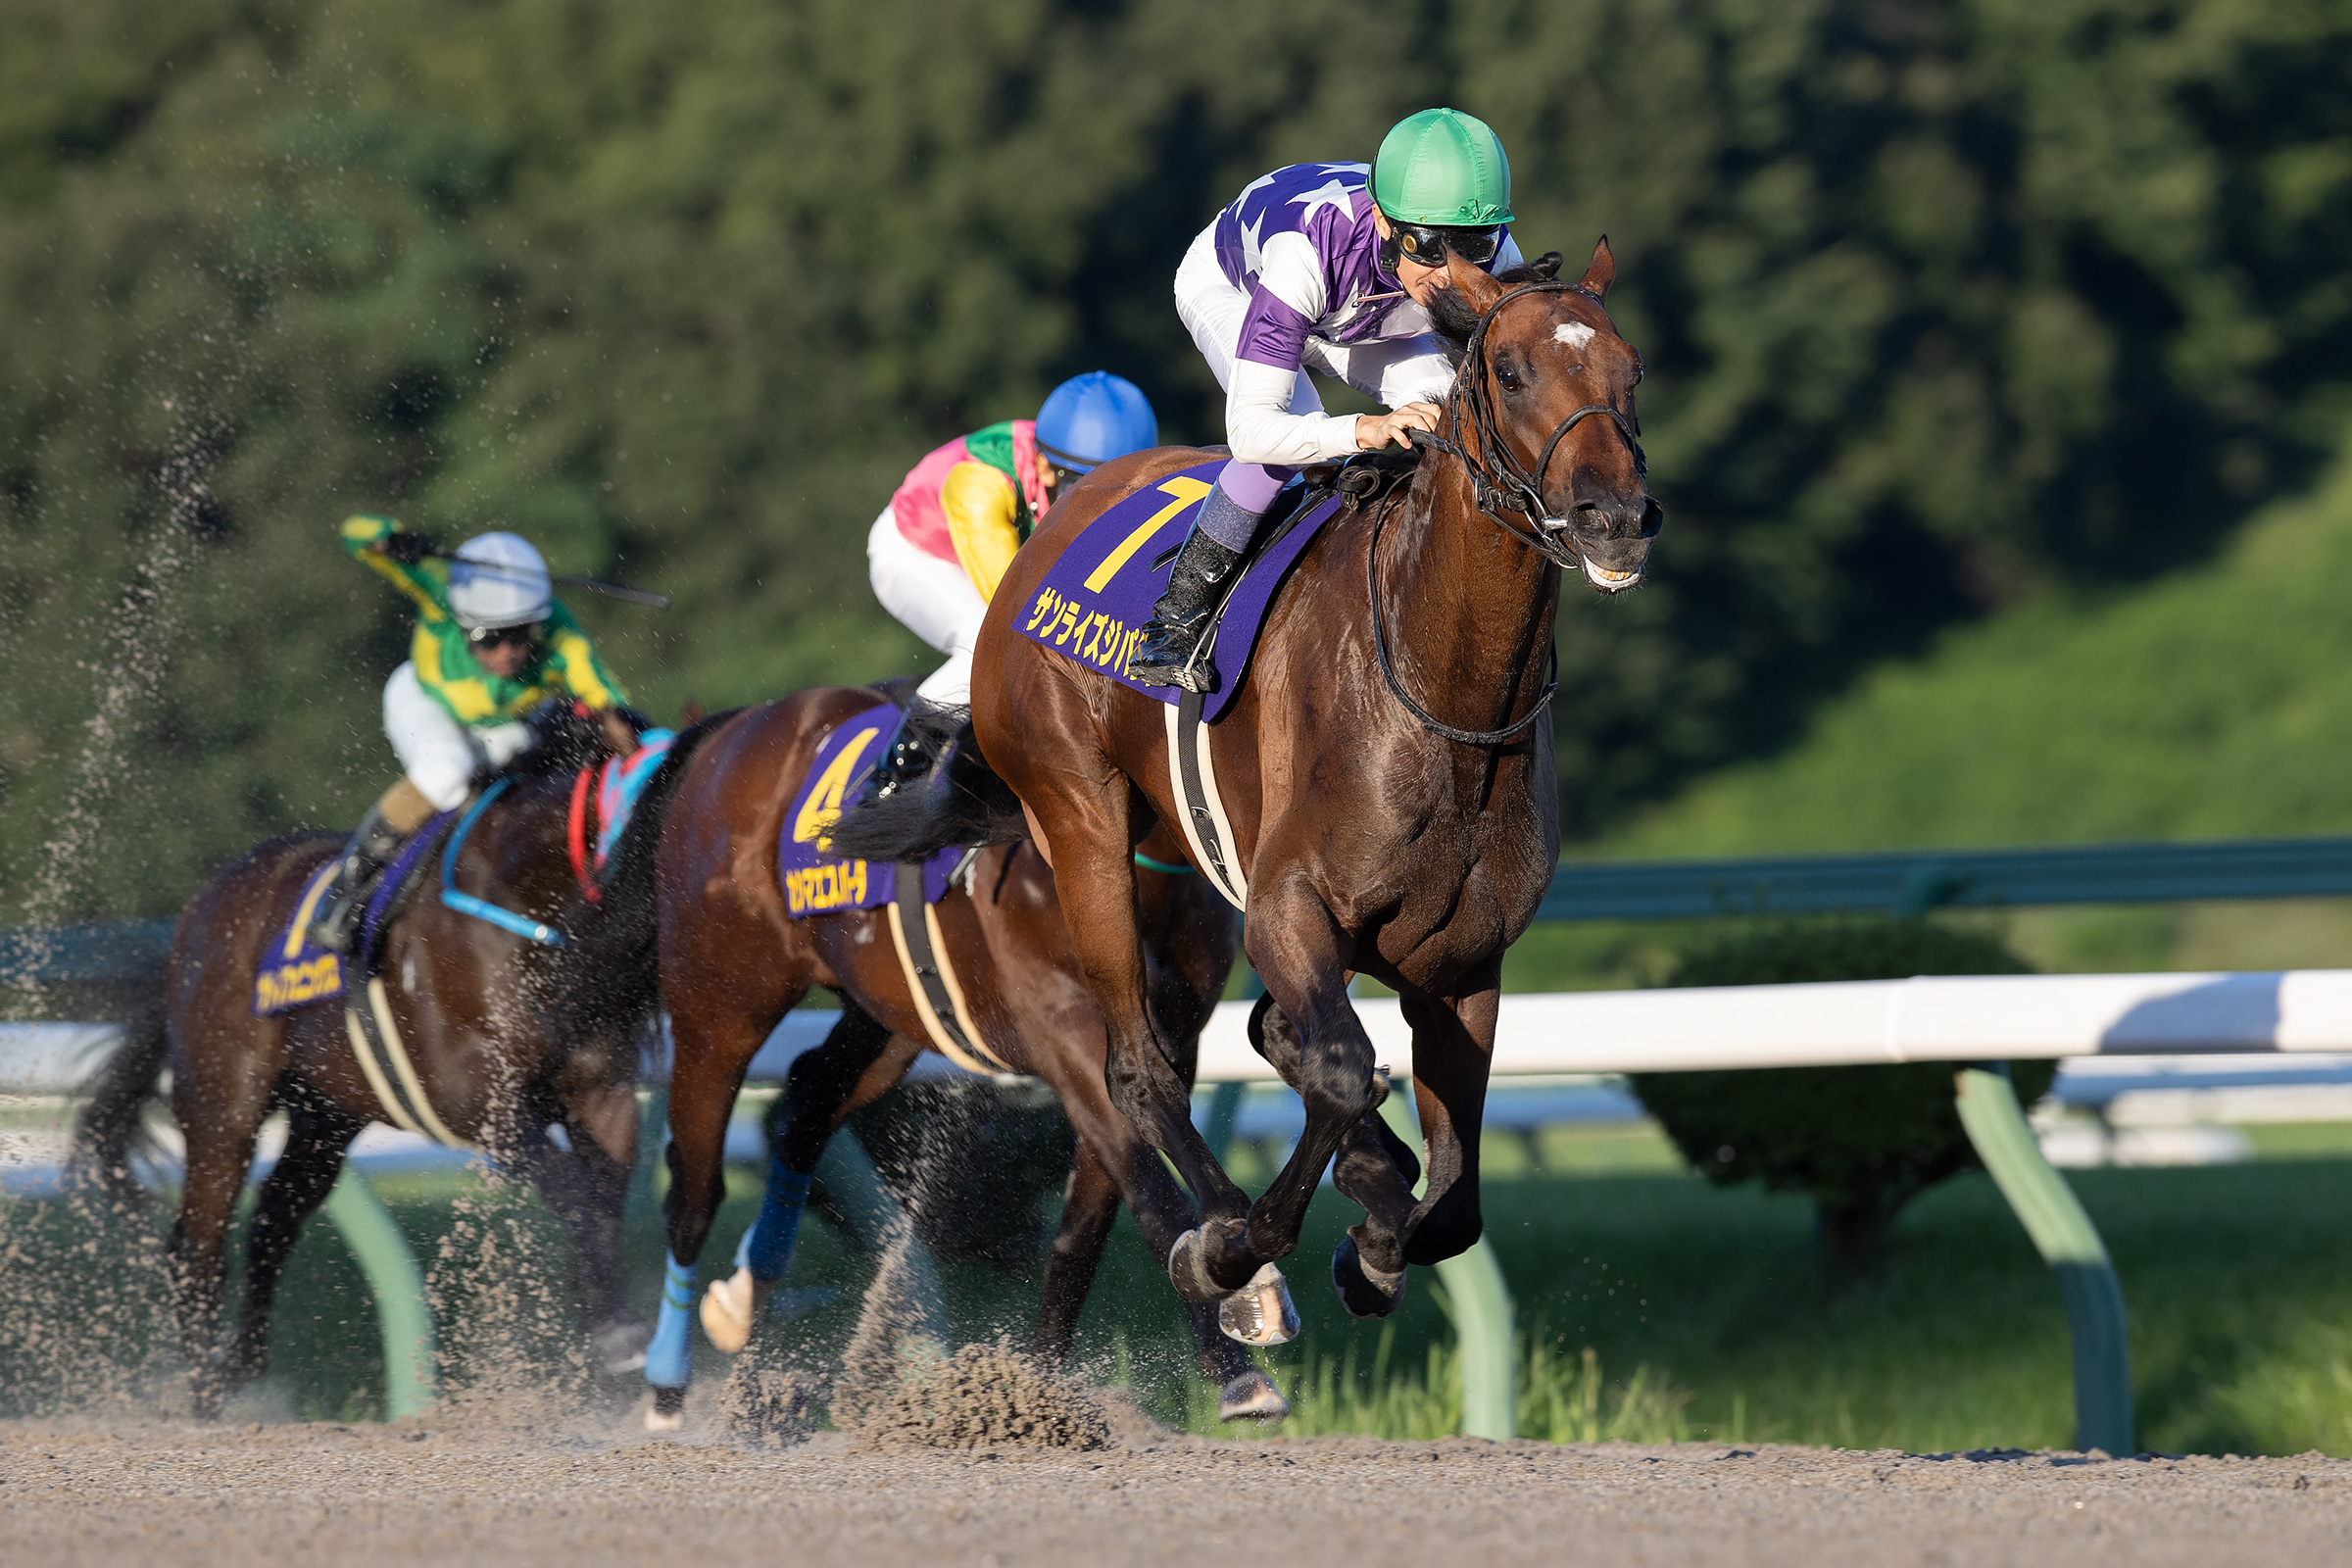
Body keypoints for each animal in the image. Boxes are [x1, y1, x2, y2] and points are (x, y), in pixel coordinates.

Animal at [72, 705, 719, 1417]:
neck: (529, 906)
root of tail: (199, 907)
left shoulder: (602, 1095)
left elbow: (601, 1204)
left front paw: (609, 1329)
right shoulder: (478, 1103)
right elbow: (573, 1191)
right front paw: (616, 1334)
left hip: (326, 1116)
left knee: (273, 1220)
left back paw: (243, 1366)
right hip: (224, 1104)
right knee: (197, 1243)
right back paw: (209, 1391)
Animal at [647, 685, 1287, 1428]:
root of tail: (738, 726)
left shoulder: (1168, 1045)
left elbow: (1084, 1230)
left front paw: (1040, 1391)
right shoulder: (1068, 1035)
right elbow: (1154, 1198)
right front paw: (1237, 1367)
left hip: (891, 1018)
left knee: (807, 1099)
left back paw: (746, 1294)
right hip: (718, 1010)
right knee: (693, 1192)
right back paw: (665, 1395)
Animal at [960, 242, 1660, 1321]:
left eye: (1633, 372)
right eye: (1511, 373)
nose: (1616, 518)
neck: (1441, 691)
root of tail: (1061, 514)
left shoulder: (1463, 965)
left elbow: (1452, 1202)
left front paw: (1375, 1236)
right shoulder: (1287, 908)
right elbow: (1336, 1070)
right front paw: (1252, 1244)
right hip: (1079, 822)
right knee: (1141, 1066)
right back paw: (1217, 1239)